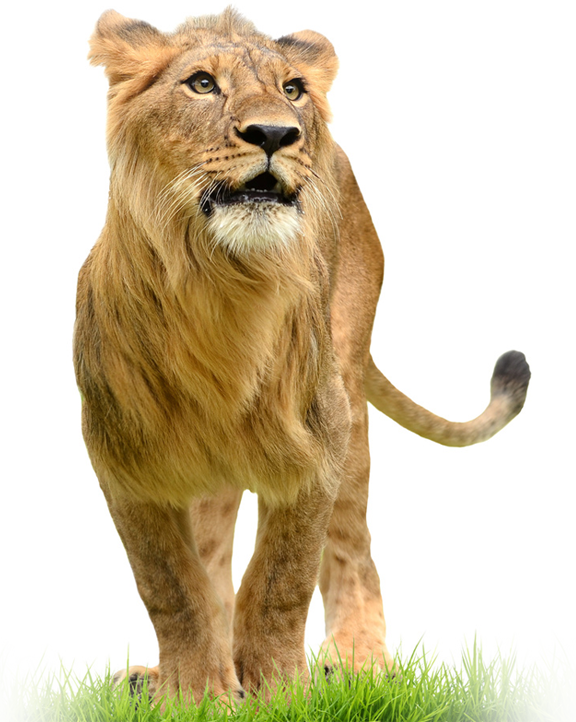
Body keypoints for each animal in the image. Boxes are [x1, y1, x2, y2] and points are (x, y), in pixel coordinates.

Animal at [74, 7, 531, 705]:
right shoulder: (121, 457)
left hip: (349, 390)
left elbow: (282, 577)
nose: (274, 133)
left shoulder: (319, 435)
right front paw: (195, 693)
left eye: (292, 89)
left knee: (353, 544)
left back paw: (357, 662)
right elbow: (171, 584)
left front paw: (279, 692)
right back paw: (162, 677)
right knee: (213, 547)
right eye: (201, 83)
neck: (219, 287)